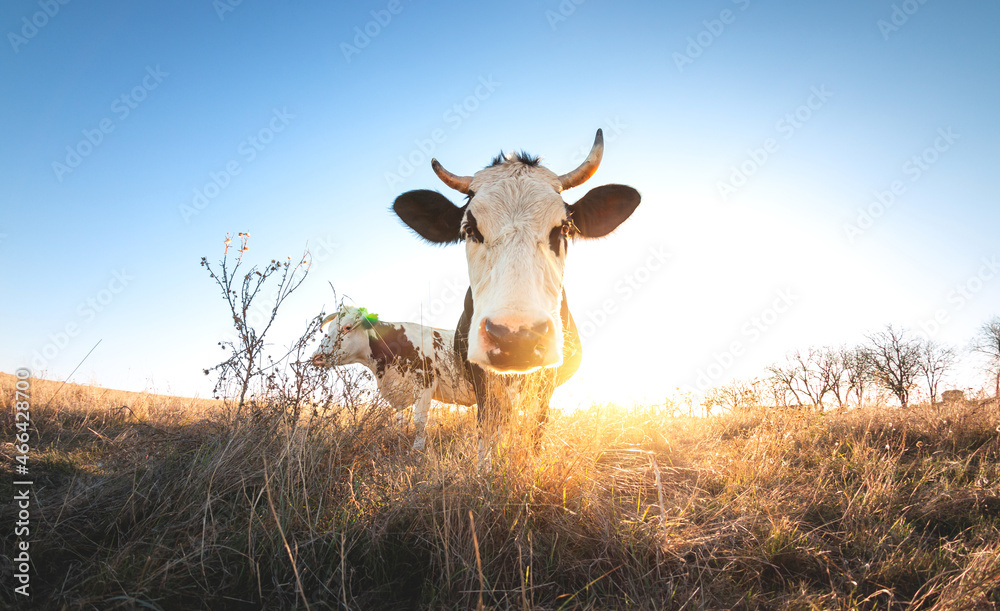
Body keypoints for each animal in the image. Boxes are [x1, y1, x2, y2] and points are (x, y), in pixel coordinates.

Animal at [310, 304, 478, 450]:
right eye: (329, 328)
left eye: (348, 327)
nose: (317, 356)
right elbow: (400, 422)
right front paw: (400, 442)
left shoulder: (424, 383)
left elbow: (419, 421)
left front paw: (417, 448)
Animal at [390, 130, 640, 464]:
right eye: (469, 229)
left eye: (564, 228)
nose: (515, 336)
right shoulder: (477, 370)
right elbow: (487, 421)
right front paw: (485, 465)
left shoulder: (549, 375)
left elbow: (537, 424)